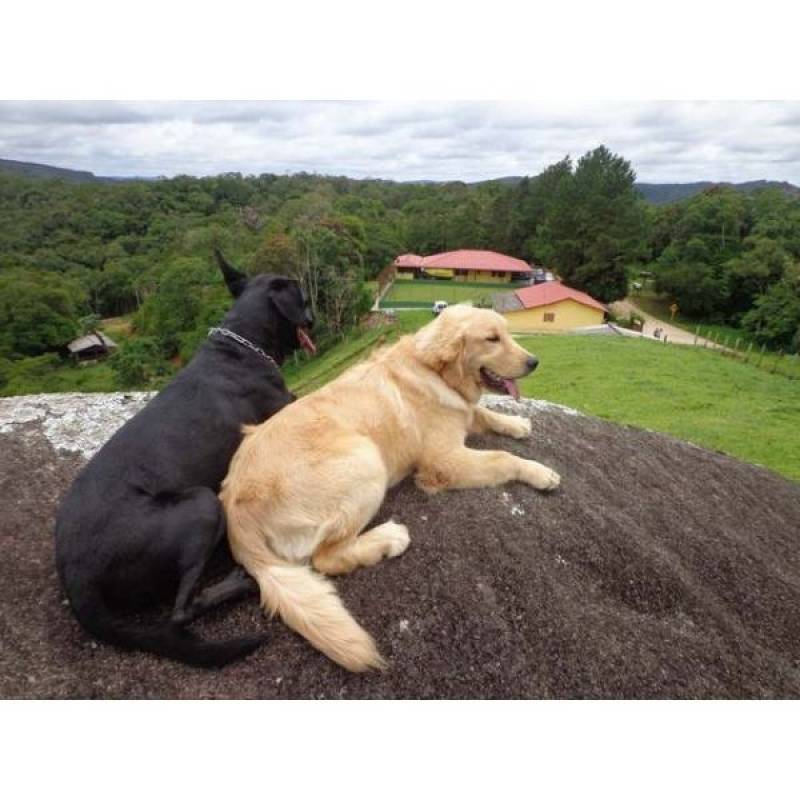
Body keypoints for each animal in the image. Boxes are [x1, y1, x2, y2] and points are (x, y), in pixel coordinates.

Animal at [54, 250, 312, 668]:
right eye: (303, 296)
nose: (313, 318)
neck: (240, 346)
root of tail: (76, 578)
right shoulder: (283, 407)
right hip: (202, 505)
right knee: (180, 612)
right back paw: (239, 581)